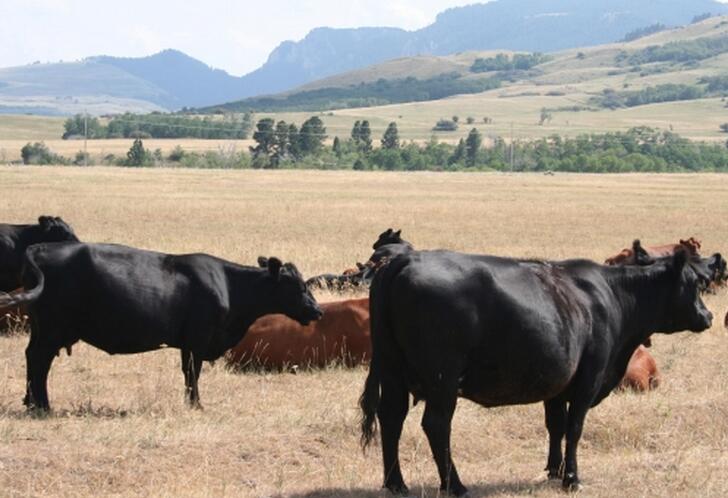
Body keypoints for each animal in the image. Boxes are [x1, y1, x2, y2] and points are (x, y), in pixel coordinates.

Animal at [0, 240, 324, 408]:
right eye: (296, 286)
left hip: (42, 329)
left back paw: (30, 402)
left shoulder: (188, 343)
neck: (229, 285)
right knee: (39, 362)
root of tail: (42, 247)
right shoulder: (197, 340)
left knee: (32, 358)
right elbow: (193, 373)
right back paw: (43, 405)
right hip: (52, 330)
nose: (317, 311)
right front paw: (196, 404)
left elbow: (188, 373)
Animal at [362, 249, 712, 494]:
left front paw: (553, 470)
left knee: (391, 418)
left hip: (393, 372)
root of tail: (405, 260)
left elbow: (555, 425)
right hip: (443, 379)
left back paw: (396, 483)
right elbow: (574, 428)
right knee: (436, 425)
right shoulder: (588, 379)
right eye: (694, 284)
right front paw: (572, 478)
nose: (708, 316)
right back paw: (455, 485)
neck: (613, 296)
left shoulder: (556, 382)